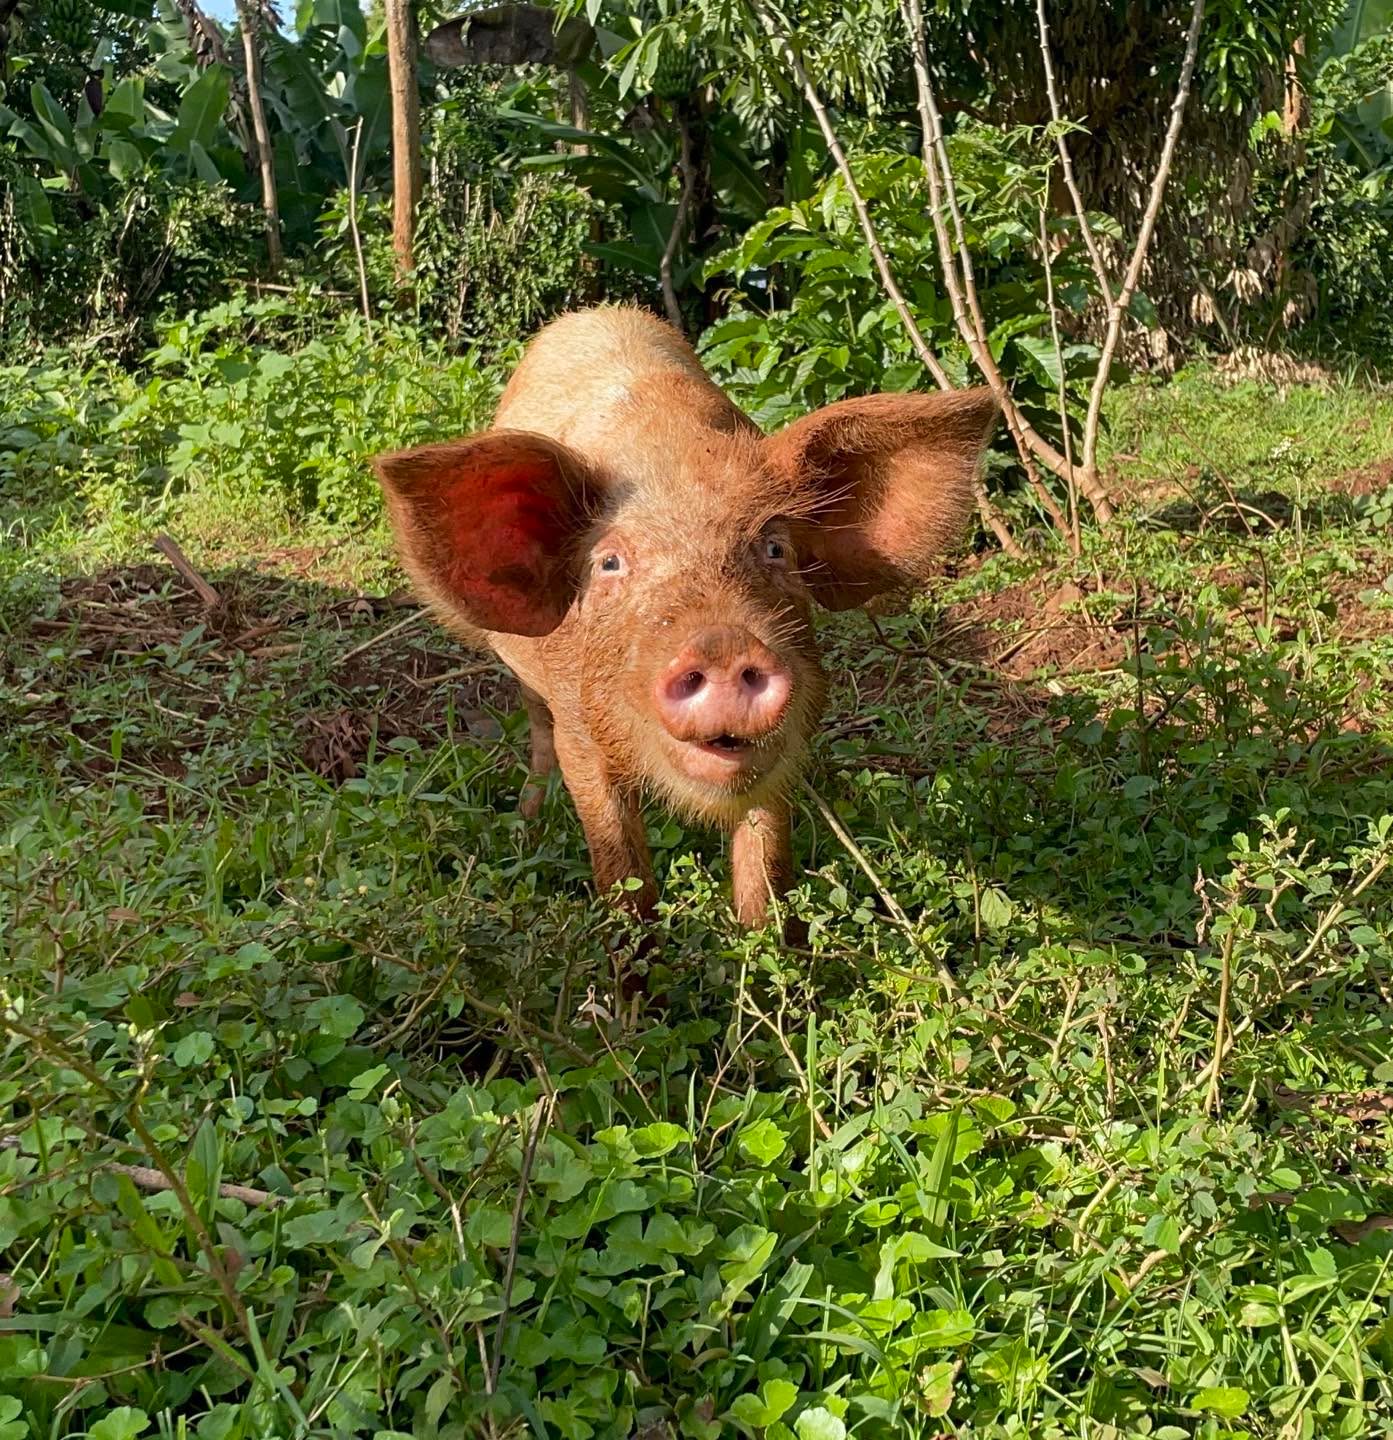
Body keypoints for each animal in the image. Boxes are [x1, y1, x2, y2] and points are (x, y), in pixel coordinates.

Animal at [372, 305, 996, 933]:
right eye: (609, 563)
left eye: (775, 548)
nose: (721, 642)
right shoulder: (581, 730)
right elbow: (620, 865)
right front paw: (632, 947)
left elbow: (766, 862)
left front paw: (768, 942)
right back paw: (530, 821)